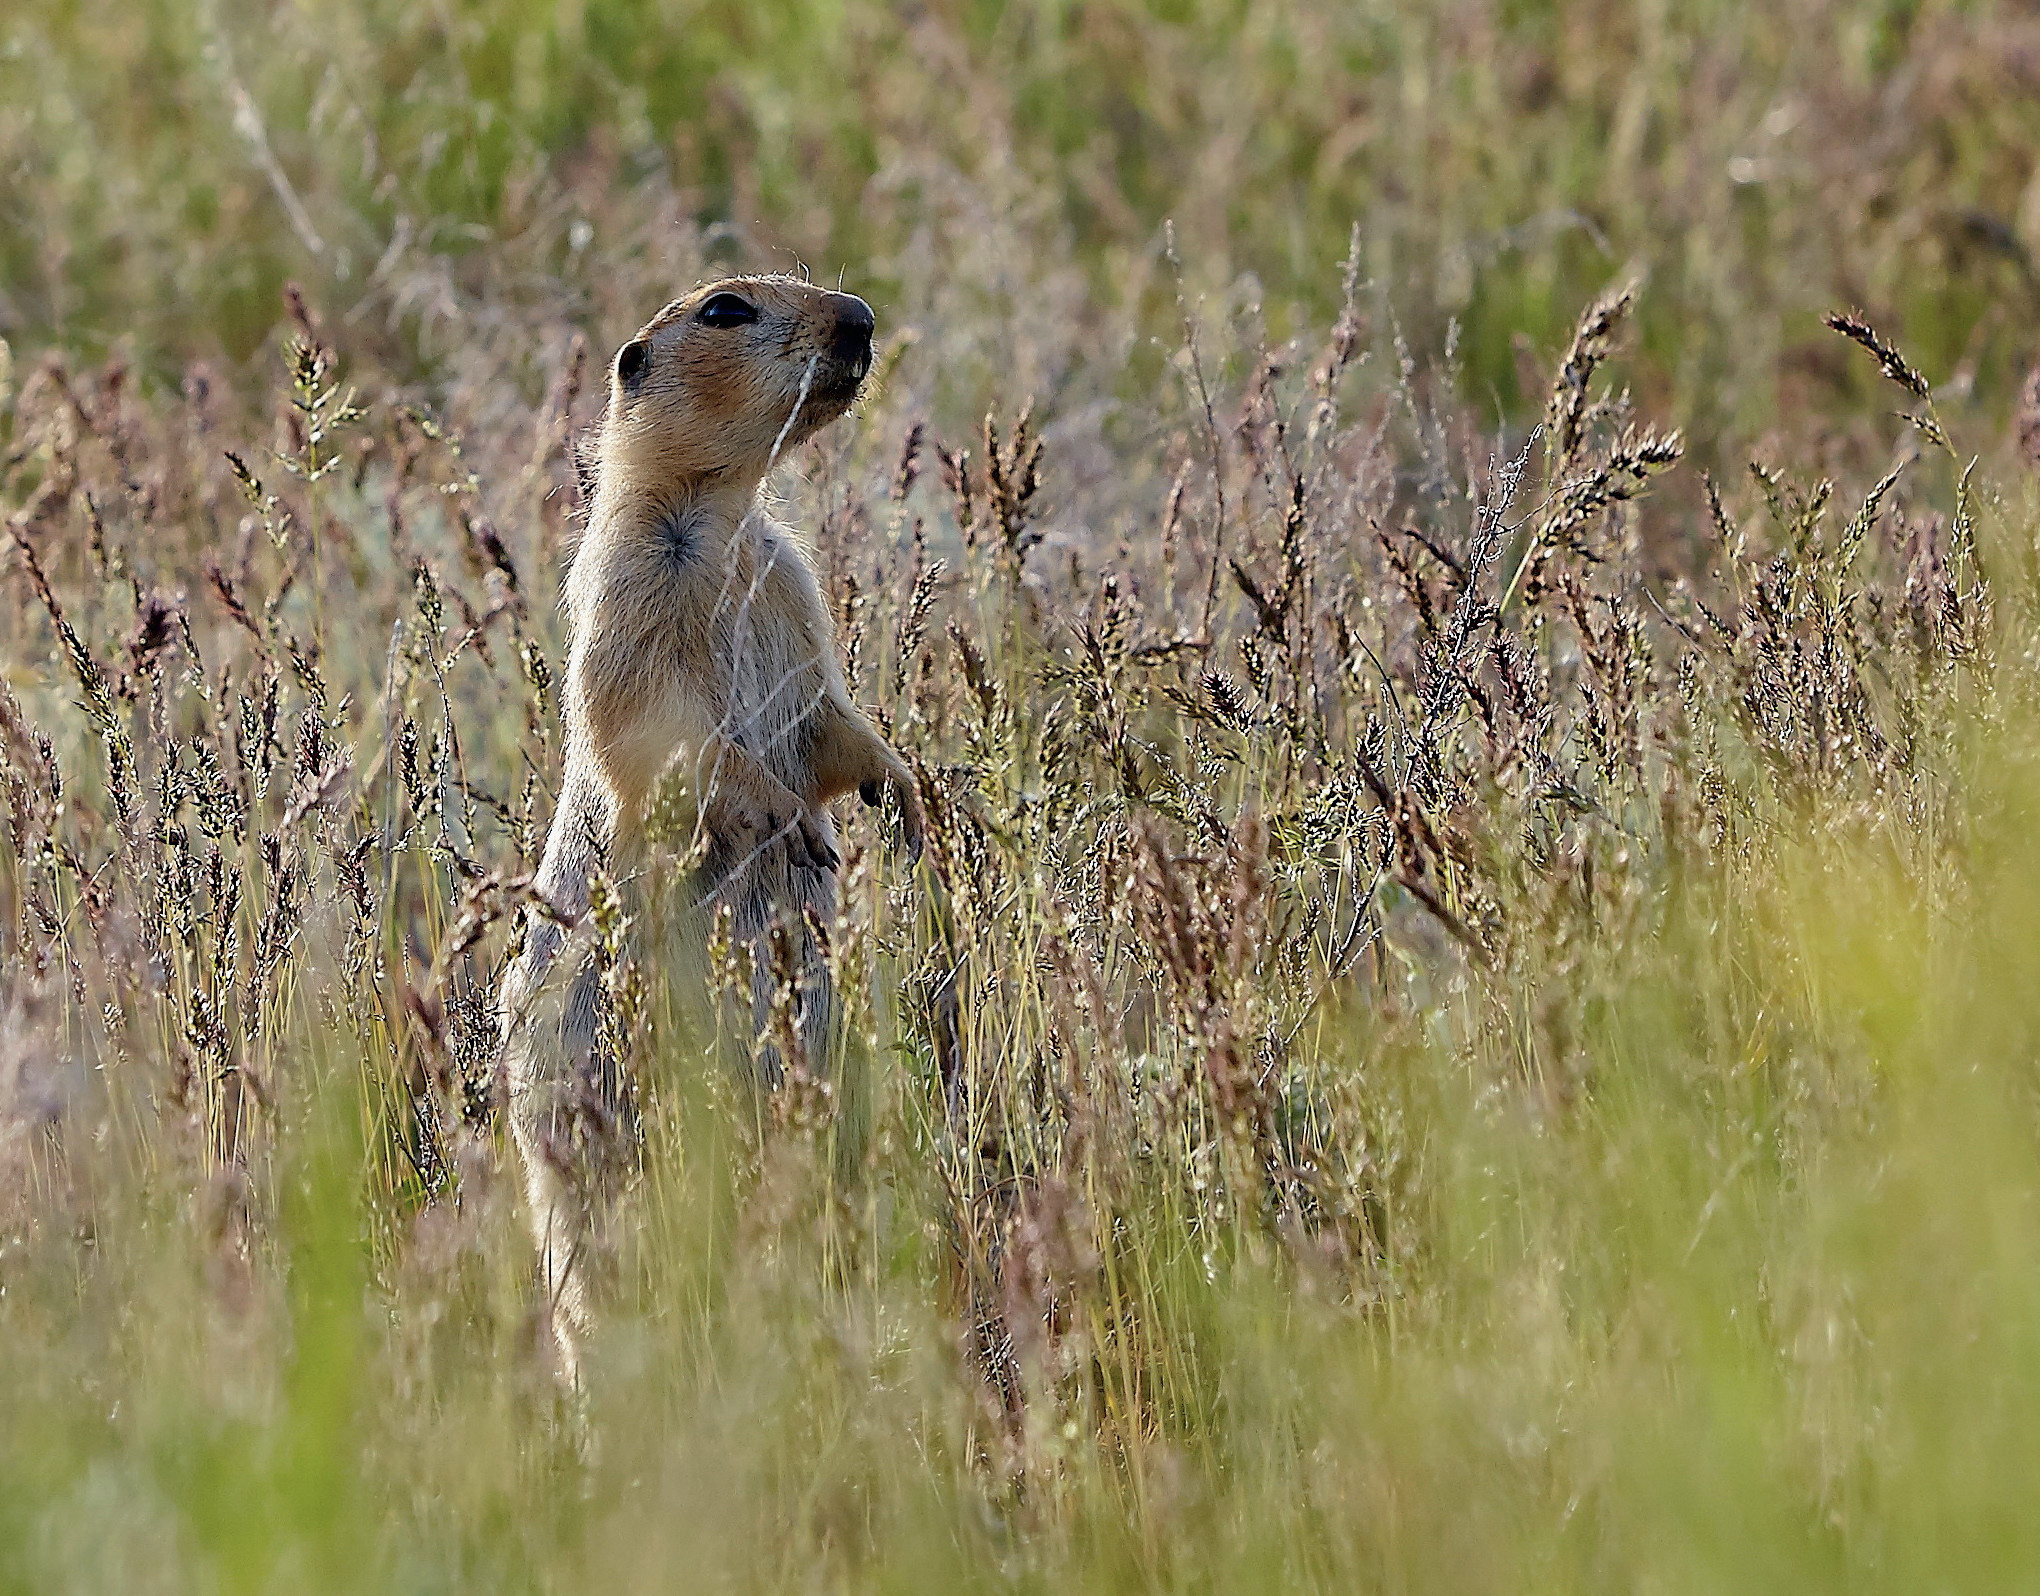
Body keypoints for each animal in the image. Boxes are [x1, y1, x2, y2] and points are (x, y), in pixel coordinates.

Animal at [498, 275, 924, 1381]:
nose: (863, 315)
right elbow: (668, 737)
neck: (727, 519)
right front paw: (787, 823)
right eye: (725, 309)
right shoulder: (633, 589)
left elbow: (830, 721)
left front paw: (904, 795)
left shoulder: (794, 593)